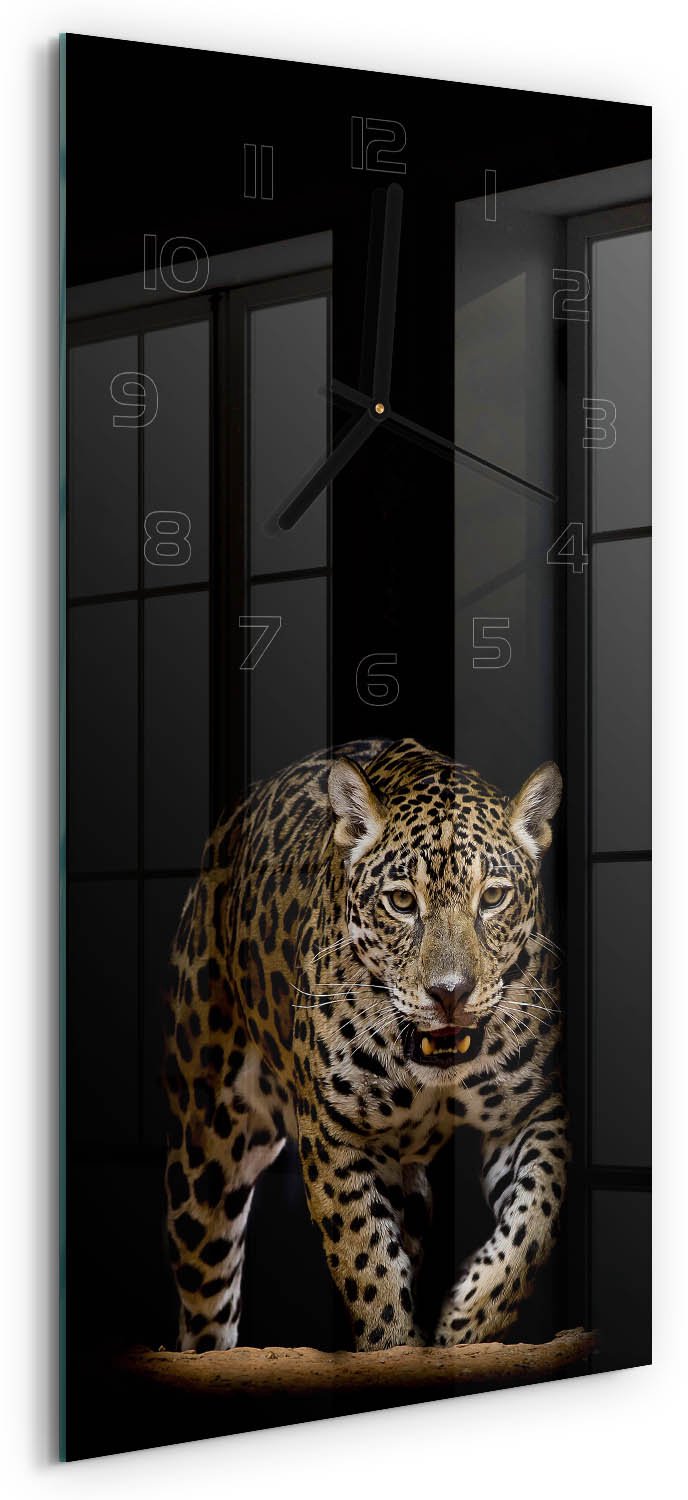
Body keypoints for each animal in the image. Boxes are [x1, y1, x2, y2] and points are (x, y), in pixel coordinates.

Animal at [163, 737, 568, 1354]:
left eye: (493, 897)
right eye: (401, 902)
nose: (450, 993)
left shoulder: (531, 1112)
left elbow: (534, 1222)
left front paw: (465, 1320)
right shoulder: (334, 1134)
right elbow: (368, 1263)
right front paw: (394, 1342)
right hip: (208, 1149)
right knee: (206, 1290)